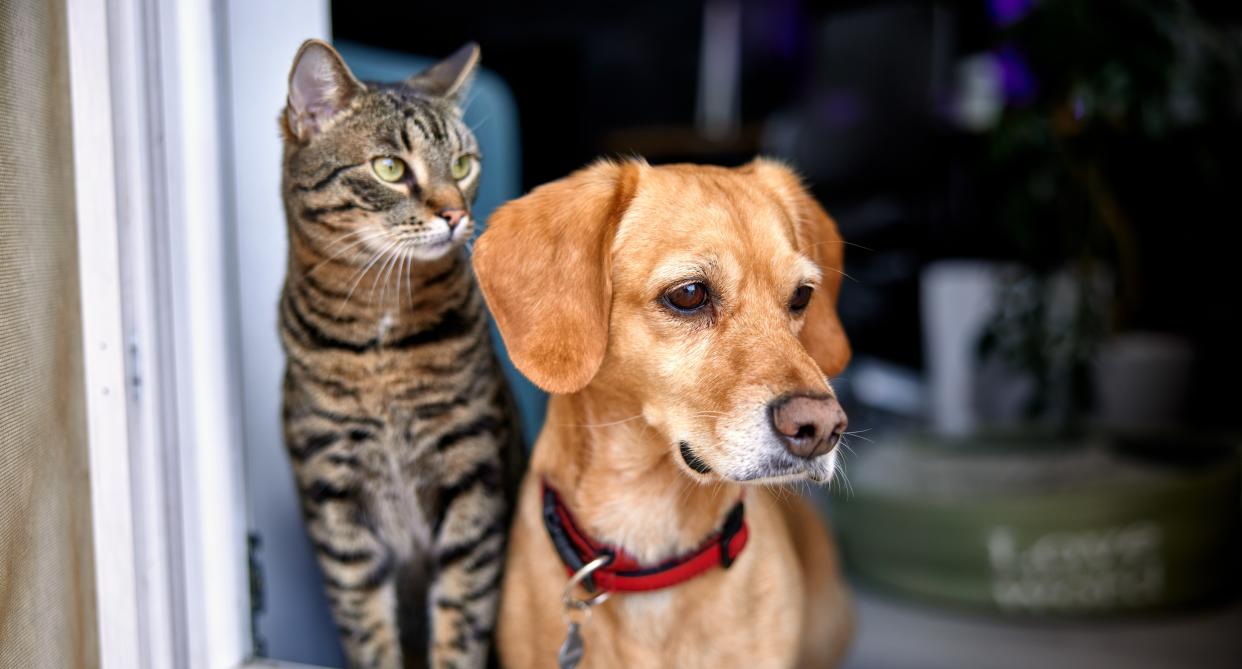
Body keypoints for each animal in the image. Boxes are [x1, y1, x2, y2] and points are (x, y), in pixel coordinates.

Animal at [276, 41, 519, 669]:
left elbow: (462, 613)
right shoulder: (334, 494)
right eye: (390, 168)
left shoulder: (471, 475)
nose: (455, 214)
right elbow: (364, 622)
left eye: (462, 165)